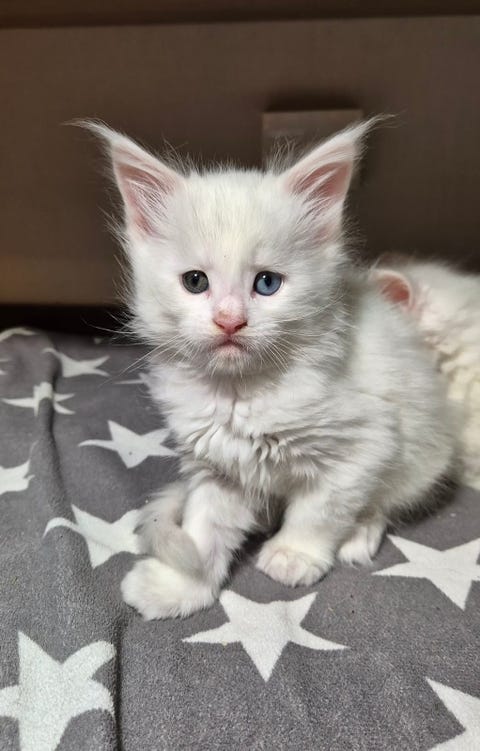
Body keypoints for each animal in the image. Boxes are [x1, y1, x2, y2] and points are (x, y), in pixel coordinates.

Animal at [86, 120, 456, 619]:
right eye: (195, 282)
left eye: (267, 283)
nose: (230, 320)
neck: (239, 393)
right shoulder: (217, 464)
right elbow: (203, 529)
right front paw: (182, 584)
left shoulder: (366, 443)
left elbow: (322, 509)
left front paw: (294, 554)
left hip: (420, 456)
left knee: (384, 499)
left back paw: (357, 534)